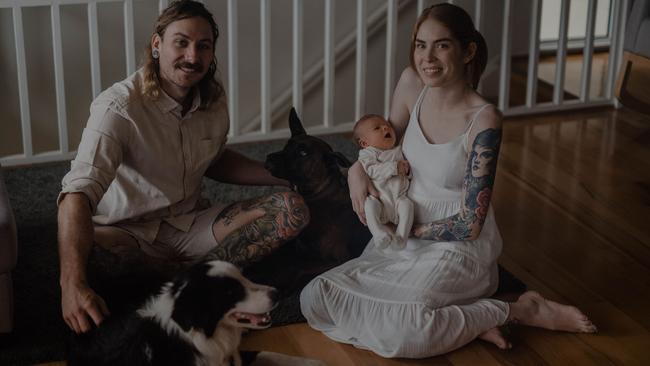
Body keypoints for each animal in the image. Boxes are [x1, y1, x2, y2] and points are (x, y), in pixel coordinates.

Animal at [244, 108, 370, 292]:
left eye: (303, 153)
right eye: (287, 145)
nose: (269, 158)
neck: (319, 193)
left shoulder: (336, 261)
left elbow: (298, 272)